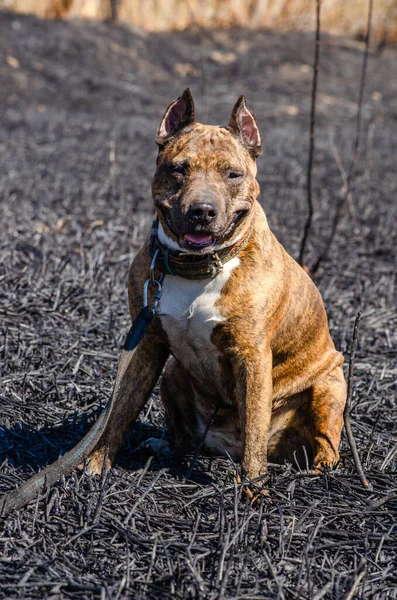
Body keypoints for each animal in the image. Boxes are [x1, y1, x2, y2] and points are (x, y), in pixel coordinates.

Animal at [87, 90, 346, 492]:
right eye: (179, 169)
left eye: (233, 174)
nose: (202, 210)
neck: (198, 267)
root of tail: (223, 449)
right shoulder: (146, 344)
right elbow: (121, 409)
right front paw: (98, 463)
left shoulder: (252, 357)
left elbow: (254, 426)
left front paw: (253, 490)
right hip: (172, 374)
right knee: (184, 438)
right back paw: (164, 446)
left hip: (330, 387)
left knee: (320, 443)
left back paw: (314, 471)